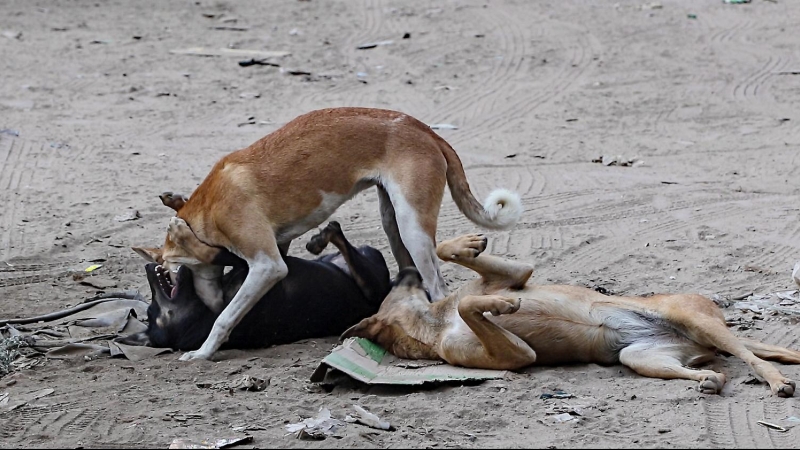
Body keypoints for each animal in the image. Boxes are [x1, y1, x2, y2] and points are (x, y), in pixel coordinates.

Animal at [119, 222, 390, 352]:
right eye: (153, 311)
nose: (148, 268)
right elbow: (221, 255)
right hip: (372, 281)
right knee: (342, 240)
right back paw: (326, 235)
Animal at [342, 234, 800, 396]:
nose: (404, 267)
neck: (434, 323)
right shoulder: (517, 355)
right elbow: (475, 309)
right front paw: (500, 308)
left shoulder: (514, 275)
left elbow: (460, 271)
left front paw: (470, 248)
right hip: (641, 357)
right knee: (724, 365)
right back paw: (711, 380)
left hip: (693, 319)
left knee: (753, 357)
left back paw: (775, 380)